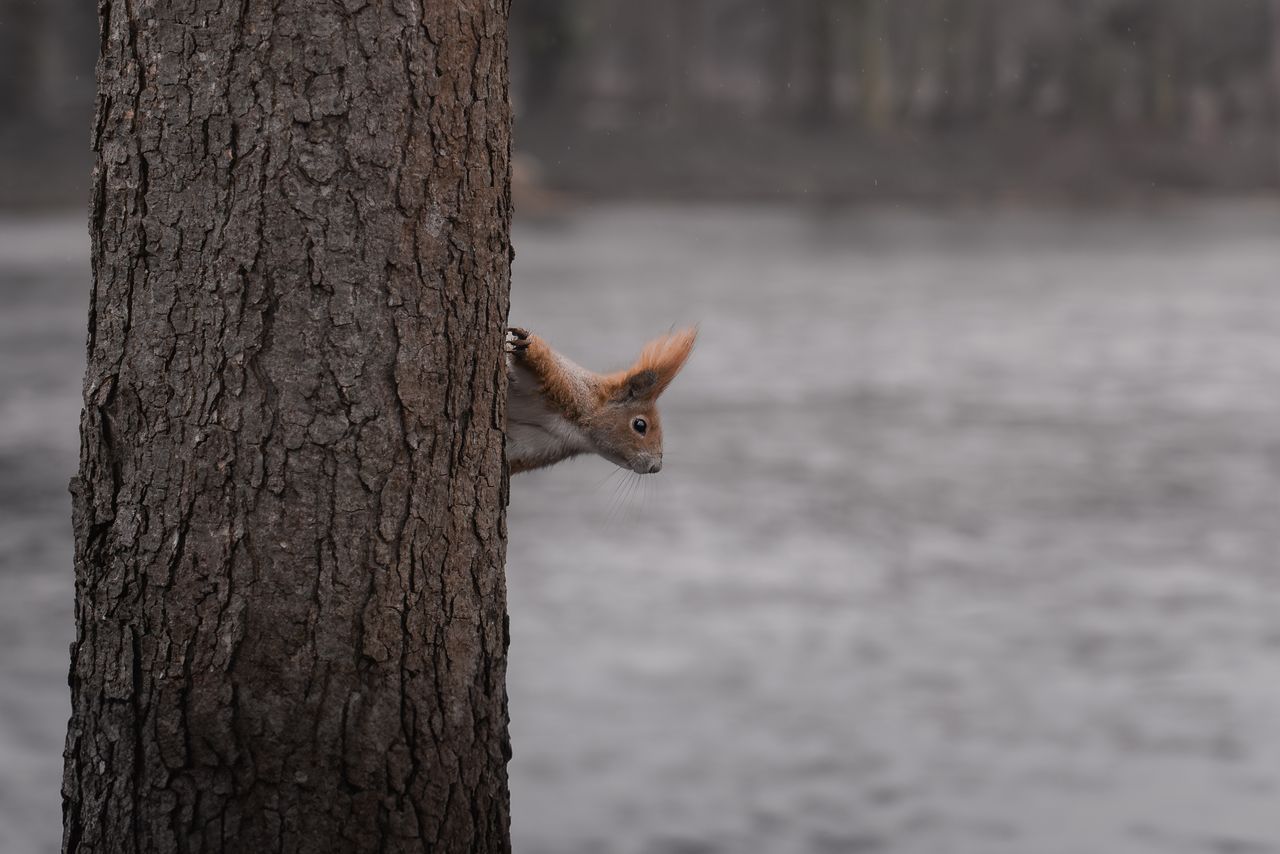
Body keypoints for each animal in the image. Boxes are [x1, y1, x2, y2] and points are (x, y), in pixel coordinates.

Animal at [504, 326, 697, 475]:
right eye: (640, 425)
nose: (655, 467)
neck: (577, 431)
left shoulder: (540, 445)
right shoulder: (564, 385)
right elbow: (539, 357)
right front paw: (524, 345)